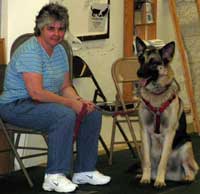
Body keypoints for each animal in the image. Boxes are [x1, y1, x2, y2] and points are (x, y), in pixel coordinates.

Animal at [135, 36, 199, 186]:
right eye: (141, 59)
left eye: (153, 63)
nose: (139, 73)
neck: (156, 94)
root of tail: (172, 176)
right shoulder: (144, 132)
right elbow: (147, 162)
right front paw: (145, 178)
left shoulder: (169, 133)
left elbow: (162, 161)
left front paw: (159, 180)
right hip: (142, 147)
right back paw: (147, 175)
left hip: (186, 146)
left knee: (190, 169)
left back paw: (187, 177)